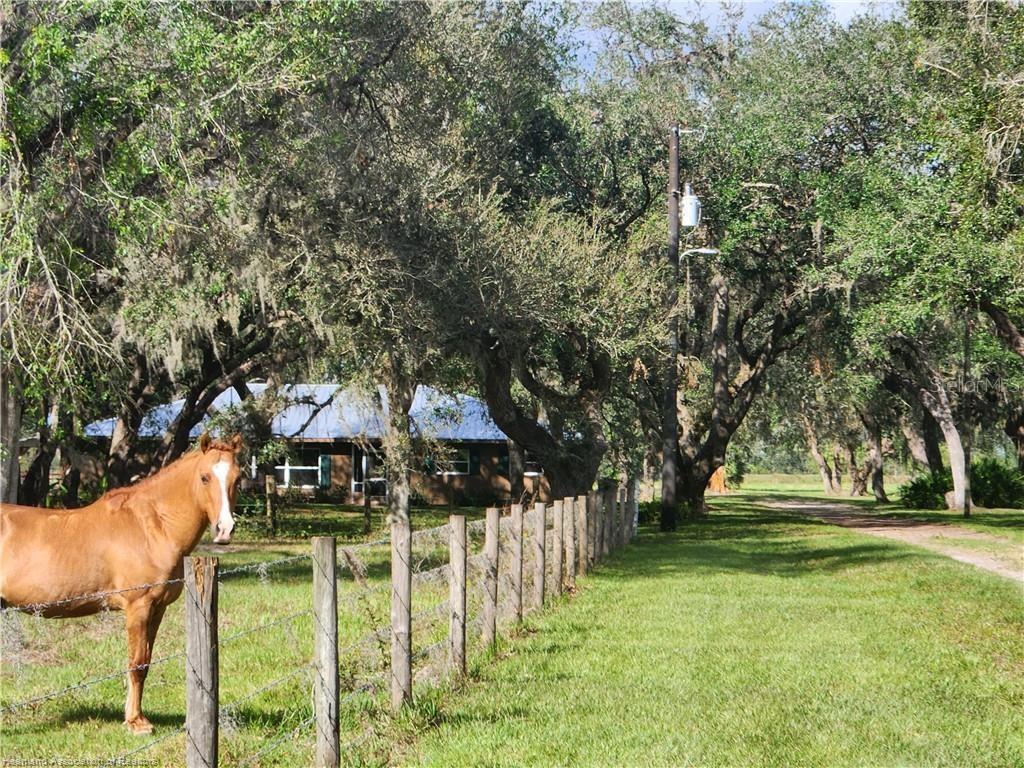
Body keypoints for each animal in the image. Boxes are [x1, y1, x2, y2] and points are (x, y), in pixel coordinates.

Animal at [1, 434, 242, 733]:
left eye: (238, 477)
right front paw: (136, 723)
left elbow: (146, 663)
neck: (152, 525)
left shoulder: (157, 609)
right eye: (204, 477)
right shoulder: (138, 607)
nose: (224, 530)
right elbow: (136, 663)